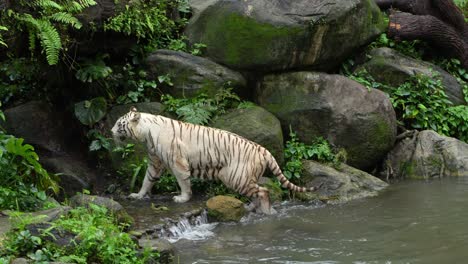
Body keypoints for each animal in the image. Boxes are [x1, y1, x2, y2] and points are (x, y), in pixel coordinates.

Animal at [111, 107, 320, 214]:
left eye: (119, 124)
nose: (111, 132)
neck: (146, 134)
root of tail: (264, 149)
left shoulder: (178, 163)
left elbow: (183, 182)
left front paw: (182, 198)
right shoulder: (155, 162)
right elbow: (147, 180)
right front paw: (138, 195)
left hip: (234, 176)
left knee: (264, 191)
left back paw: (267, 212)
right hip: (243, 177)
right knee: (258, 192)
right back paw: (251, 207)